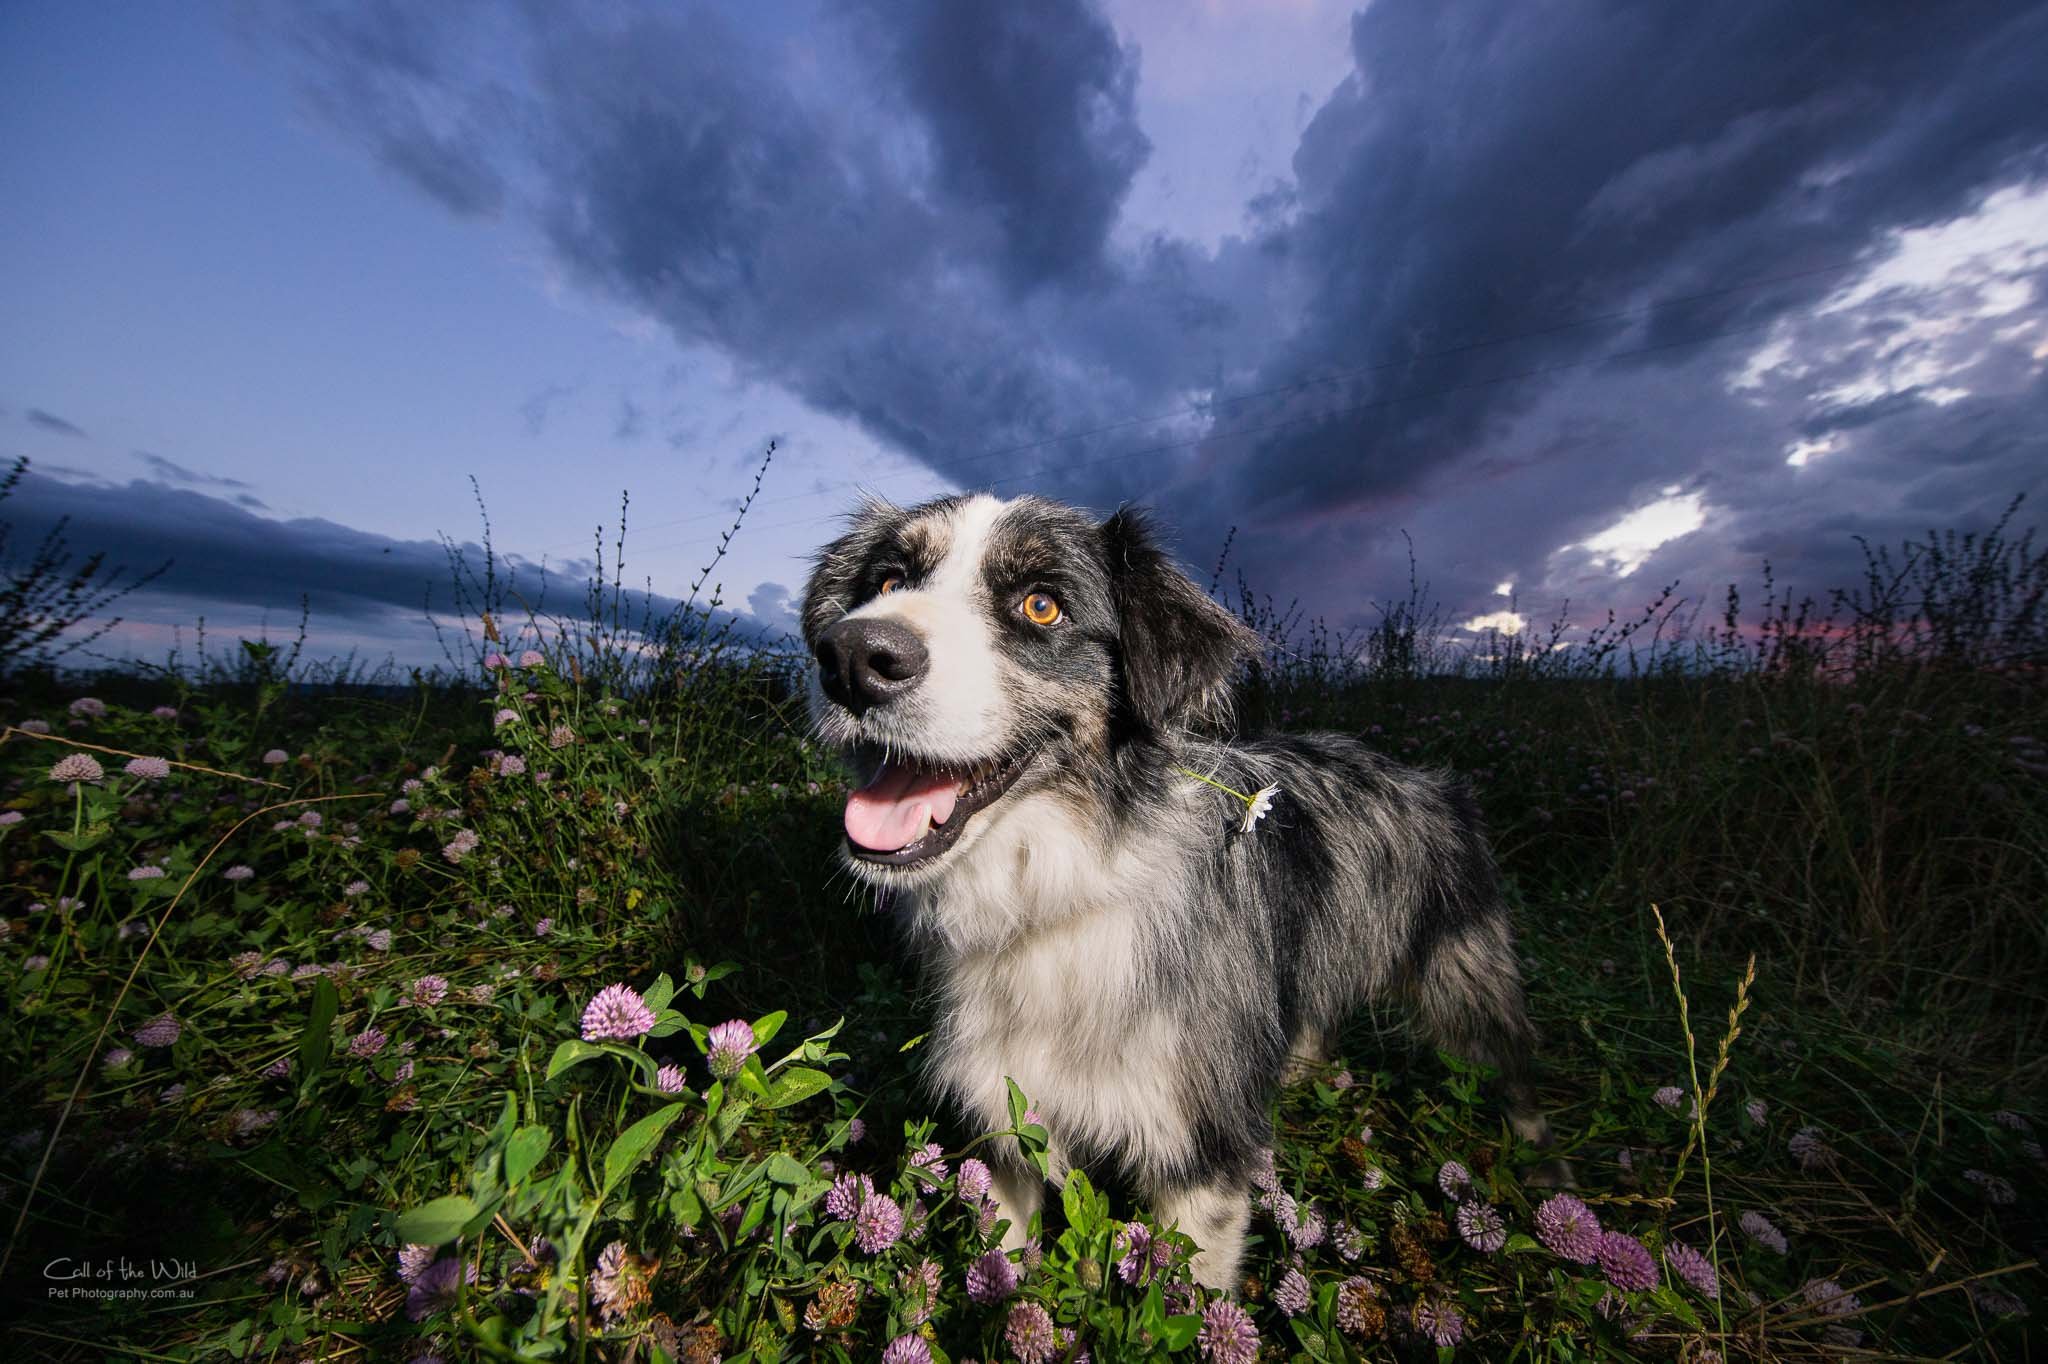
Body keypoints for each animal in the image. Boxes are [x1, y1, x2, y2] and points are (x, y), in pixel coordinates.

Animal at [794, 489, 1548, 1286]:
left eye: (1041, 606)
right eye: (885, 580)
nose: (851, 659)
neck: (1056, 895)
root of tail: (1437, 783)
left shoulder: (1199, 1143)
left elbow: (1191, 1292)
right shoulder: (1004, 1118)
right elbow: (1003, 1257)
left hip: (1467, 982)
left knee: (1513, 1062)